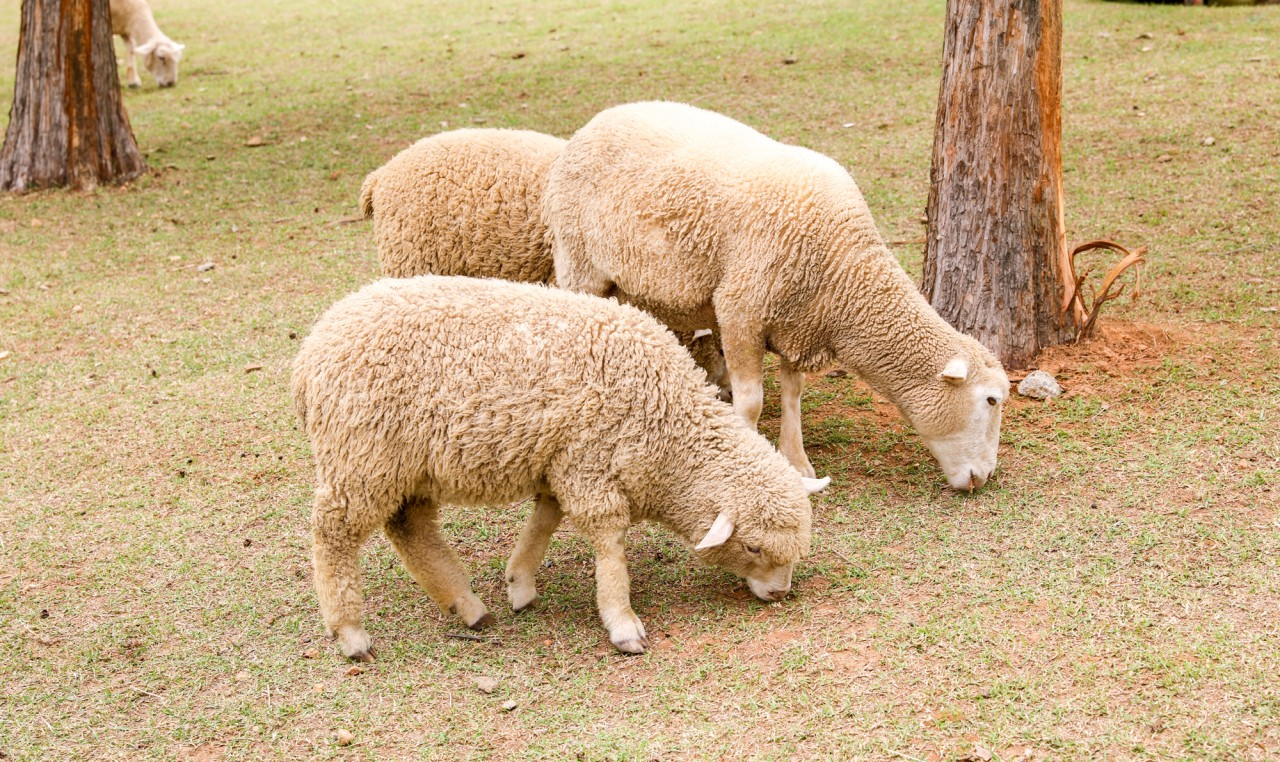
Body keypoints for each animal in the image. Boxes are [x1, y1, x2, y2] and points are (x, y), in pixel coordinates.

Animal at [291, 275, 824, 660]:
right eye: (752, 547)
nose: (779, 594)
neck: (667, 422)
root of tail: (310, 352)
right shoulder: (590, 466)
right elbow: (608, 544)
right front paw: (622, 622)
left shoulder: (563, 461)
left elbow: (545, 519)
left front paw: (520, 583)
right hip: (361, 453)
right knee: (333, 534)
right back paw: (350, 632)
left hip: (405, 465)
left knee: (411, 530)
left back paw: (467, 607)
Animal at [540, 101, 1008, 491]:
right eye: (991, 399)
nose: (984, 478)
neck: (845, 272)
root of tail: (594, 121)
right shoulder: (740, 312)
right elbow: (751, 403)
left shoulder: (799, 323)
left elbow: (792, 394)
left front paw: (797, 462)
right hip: (579, 261)